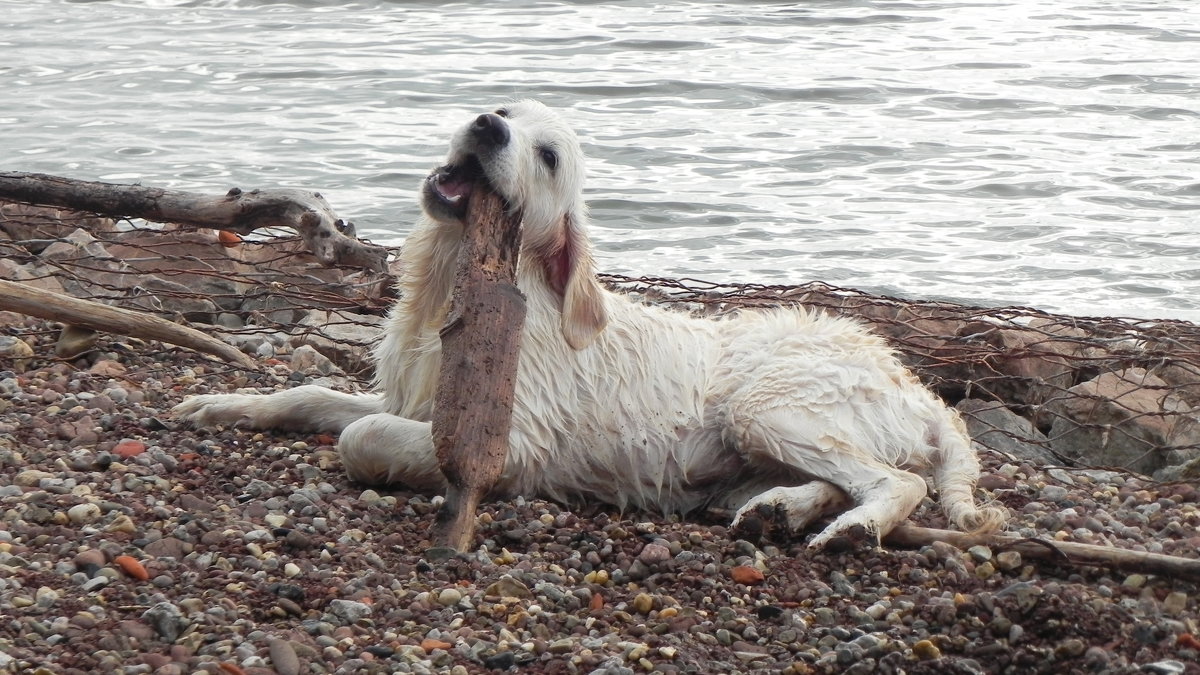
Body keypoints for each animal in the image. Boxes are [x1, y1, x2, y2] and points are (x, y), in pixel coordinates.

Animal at [175, 99, 1003, 542]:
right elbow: (311, 393)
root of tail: (916, 386)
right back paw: (780, 508)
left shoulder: (512, 441)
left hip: (769, 405)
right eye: (507, 112)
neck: (453, 280)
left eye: (545, 155)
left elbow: (360, 435)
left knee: (898, 482)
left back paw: (852, 526)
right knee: (839, 481)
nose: (486, 126)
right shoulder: (409, 392)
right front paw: (218, 403)